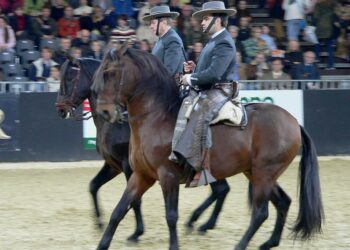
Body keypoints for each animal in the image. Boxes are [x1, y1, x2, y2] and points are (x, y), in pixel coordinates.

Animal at [55, 57, 230, 240]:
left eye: (69, 78)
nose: (60, 109)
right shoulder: (113, 165)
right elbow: (93, 186)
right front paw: (100, 224)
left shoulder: (129, 166)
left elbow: (135, 201)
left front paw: (137, 232)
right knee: (222, 189)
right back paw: (200, 223)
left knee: (221, 189)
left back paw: (199, 223)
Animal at [91, 45, 324, 250]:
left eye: (110, 73)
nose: (104, 112)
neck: (157, 117)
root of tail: (293, 121)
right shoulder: (141, 175)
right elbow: (119, 210)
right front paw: (103, 244)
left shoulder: (168, 176)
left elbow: (171, 216)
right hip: (257, 173)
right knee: (282, 202)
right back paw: (268, 243)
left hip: (264, 174)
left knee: (259, 213)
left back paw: (238, 244)